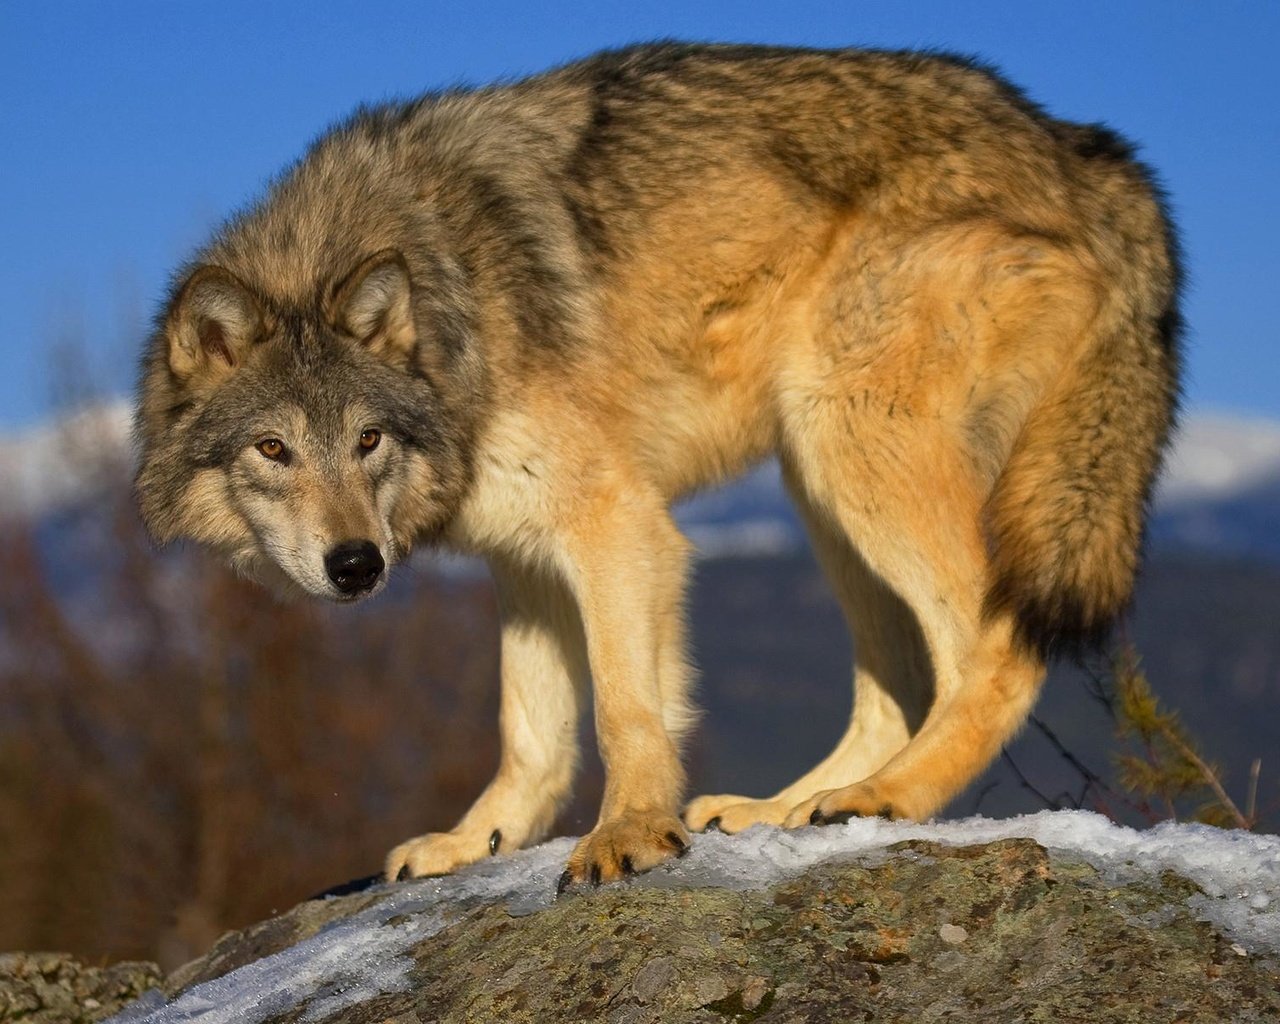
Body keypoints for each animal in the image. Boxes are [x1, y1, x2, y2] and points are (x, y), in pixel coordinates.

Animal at [132, 41, 1177, 885]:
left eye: (366, 441)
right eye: (274, 448)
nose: (357, 565)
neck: (453, 296)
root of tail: (1081, 146)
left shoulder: (616, 523)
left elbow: (625, 709)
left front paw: (628, 834)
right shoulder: (523, 557)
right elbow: (531, 732)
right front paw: (476, 844)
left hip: (853, 443)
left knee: (993, 652)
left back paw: (888, 796)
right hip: (820, 483)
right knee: (901, 687)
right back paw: (786, 810)